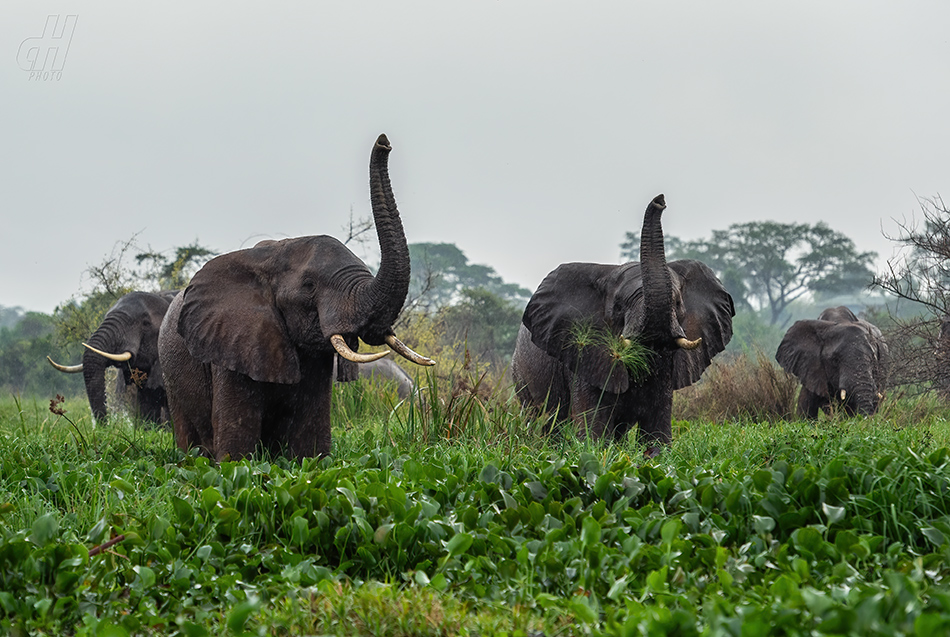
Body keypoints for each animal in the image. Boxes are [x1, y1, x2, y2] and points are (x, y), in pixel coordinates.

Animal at [160, 135, 436, 462]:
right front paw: (235, 463)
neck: (272, 254)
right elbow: (237, 445)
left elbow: (310, 440)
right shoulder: (231, 343)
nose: (384, 142)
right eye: (309, 286)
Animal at [512, 194, 736, 452]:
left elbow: (657, 427)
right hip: (521, 376)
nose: (660, 200)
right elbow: (594, 426)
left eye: (678, 303)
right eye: (619, 306)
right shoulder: (584, 354)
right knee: (545, 421)